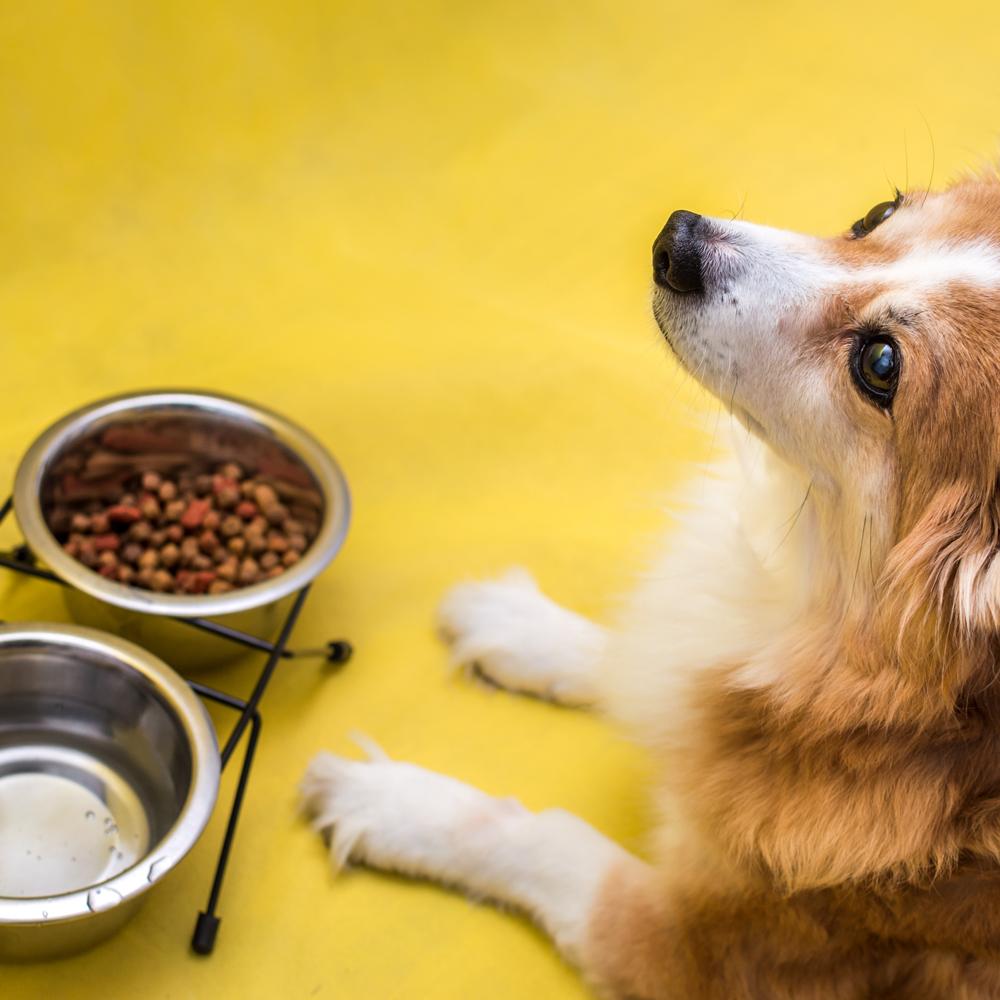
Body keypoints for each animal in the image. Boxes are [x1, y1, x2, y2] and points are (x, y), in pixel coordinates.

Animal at [296, 176, 1000, 996]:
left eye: (881, 363)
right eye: (878, 215)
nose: (675, 242)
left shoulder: (702, 952)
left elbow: (542, 839)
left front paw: (396, 803)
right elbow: (635, 660)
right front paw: (517, 623)